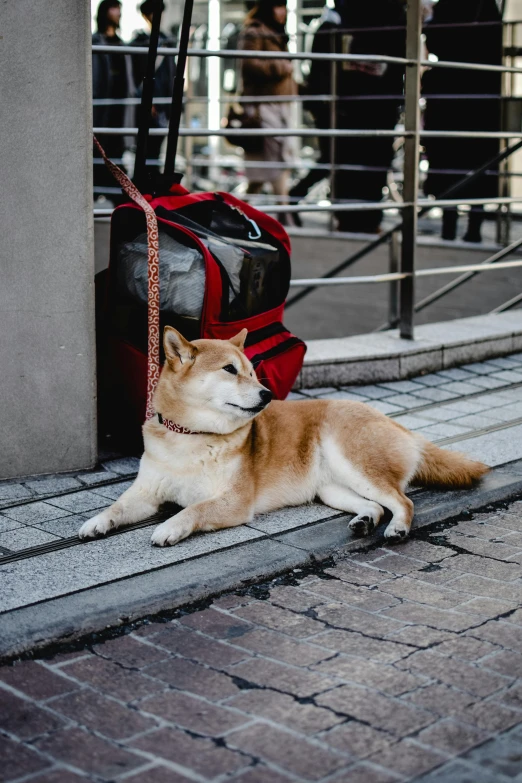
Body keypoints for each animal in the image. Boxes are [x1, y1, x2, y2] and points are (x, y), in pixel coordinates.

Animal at [78, 328, 488, 548]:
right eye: (230, 370)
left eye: (252, 371)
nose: (267, 394)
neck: (190, 438)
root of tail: (400, 427)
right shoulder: (146, 492)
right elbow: (117, 506)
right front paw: (97, 522)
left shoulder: (233, 501)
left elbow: (193, 510)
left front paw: (168, 527)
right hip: (331, 487)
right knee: (374, 505)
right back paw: (364, 522)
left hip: (352, 460)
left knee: (402, 501)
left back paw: (398, 528)